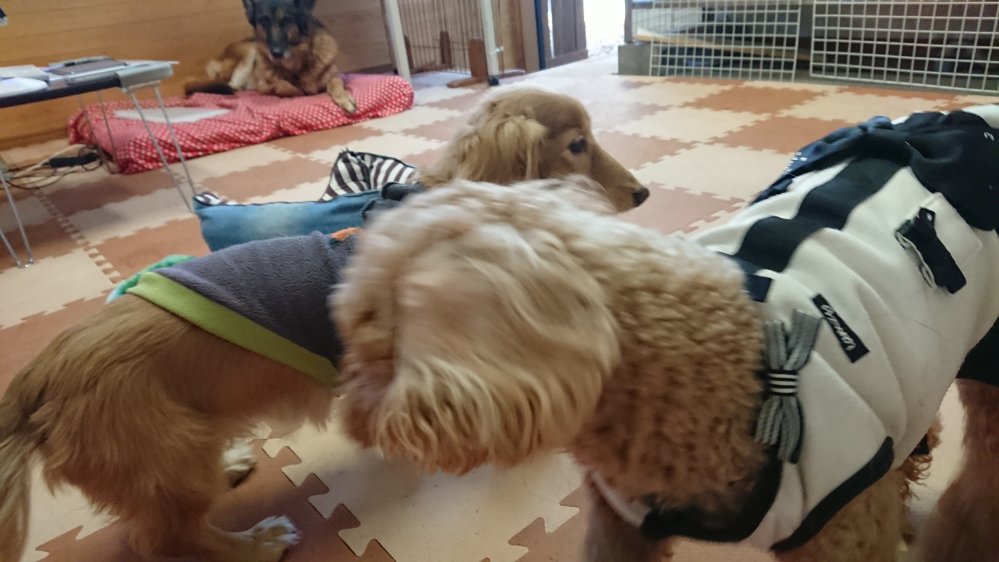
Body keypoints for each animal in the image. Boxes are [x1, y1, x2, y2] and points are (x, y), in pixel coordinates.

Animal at [0, 89, 647, 561]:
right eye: (577, 144)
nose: (643, 193)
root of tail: (35, 383)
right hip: (169, 460)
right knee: (170, 539)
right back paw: (255, 544)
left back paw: (231, 465)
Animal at [186, 0, 356, 114]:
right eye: (263, 22)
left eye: (287, 21)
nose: (275, 53)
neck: (297, 62)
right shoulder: (265, 85)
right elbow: (285, 86)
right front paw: (298, 90)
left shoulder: (334, 76)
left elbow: (335, 85)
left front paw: (344, 98)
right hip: (249, 52)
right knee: (232, 86)